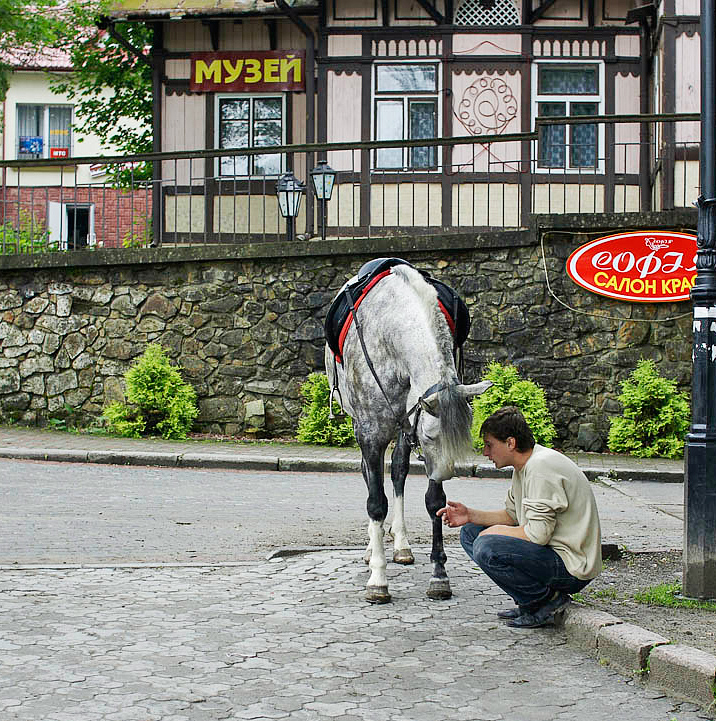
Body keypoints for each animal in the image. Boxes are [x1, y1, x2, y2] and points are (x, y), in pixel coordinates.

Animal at [326, 262, 490, 600]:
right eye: (430, 436)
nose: (443, 473)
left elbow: (435, 503)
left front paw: (439, 575)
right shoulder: (371, 434)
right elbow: (376, 502)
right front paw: (378, 578)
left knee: (399, 471)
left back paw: (401, 544)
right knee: (369, 477)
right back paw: (371, 548)